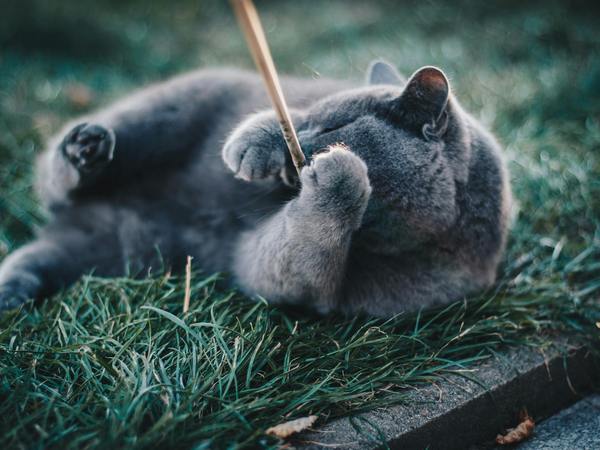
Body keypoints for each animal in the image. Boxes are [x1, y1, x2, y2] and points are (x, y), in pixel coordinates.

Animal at [0, 61, 512, 318]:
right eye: (309, 119)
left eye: (336, 128)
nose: (301, 147)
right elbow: (271, 120)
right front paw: (256, 143)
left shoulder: (316, 290)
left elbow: (291, 256)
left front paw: (341, 172)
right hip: (170, 105)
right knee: (55, 175)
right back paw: (85, 149)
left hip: (121, 249)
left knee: (44, 253)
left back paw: (13, 291)